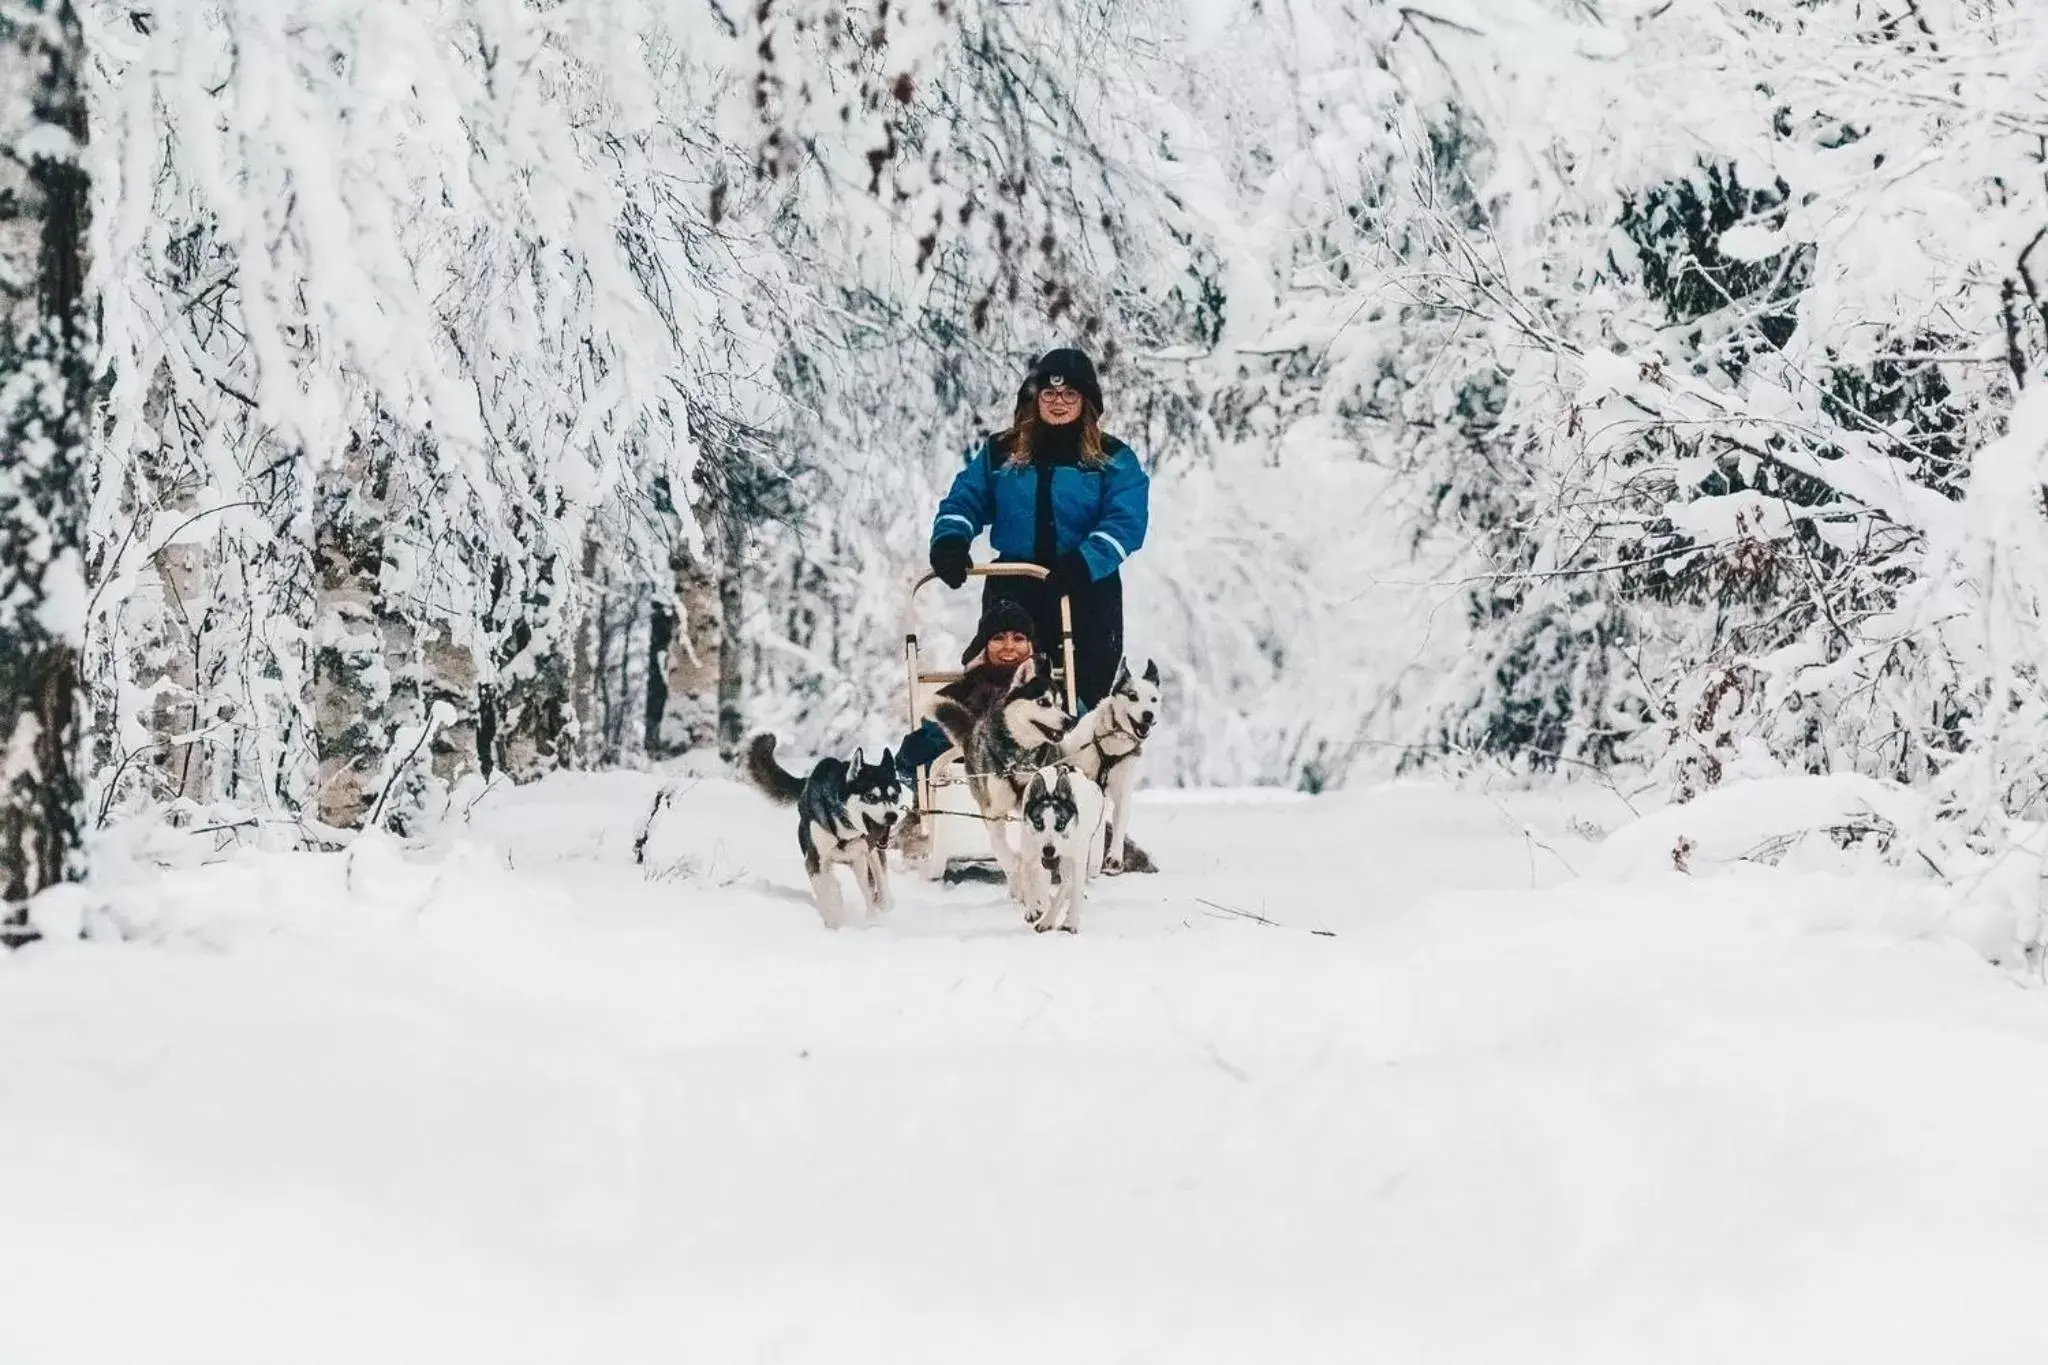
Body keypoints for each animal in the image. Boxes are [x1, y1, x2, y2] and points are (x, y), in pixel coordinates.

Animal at [745, 736, 905, 929]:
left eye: (894, 796)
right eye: (871, 796)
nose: (891, 816)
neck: (842, 828)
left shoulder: (860, 858)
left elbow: (868, 891)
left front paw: (871, 922)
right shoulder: (815, 859)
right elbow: (826, 889)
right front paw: (834, 919)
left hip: (870, 855)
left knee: (879, 882)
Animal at [937, 654, 1081, 892]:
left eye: (1061, 705)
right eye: (1044, 702)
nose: (1070, 721)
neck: (1020, 757)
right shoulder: (993, 812)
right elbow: (1002, 850)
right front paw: (1017, 869)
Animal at [1011, 765, 1105, 933]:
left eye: (1060, 824)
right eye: (1038, 823)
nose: (1048, 850)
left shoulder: (1077, 860)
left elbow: (1072, 889)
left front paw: (1070, 923)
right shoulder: (1030, 855)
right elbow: (1027, 877)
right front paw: (1033, 909)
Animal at [1056, 663, 1171, 875]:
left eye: (1153, 699)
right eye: (1132, 696)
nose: (1148, 715)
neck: (1111, 746)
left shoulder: (1122, 792)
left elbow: (1119, 825)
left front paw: (1115, 857)